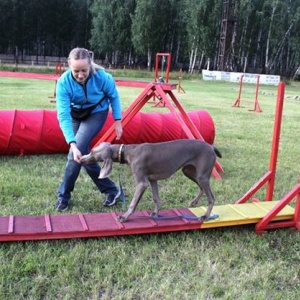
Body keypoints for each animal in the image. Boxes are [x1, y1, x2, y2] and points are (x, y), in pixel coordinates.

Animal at [81, 139, 221, 221]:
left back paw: (205, 216)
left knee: (211, 197)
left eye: (92, 152)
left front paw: (124, 217)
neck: (128, 151)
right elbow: (156, 198)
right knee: (202, 188)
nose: (81, 159)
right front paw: (156, 214)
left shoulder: (142, 183)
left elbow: (133, 203)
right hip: (189, 172)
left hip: (202, 175)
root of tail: (211, 147)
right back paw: (194, 202)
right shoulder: (152, 180)